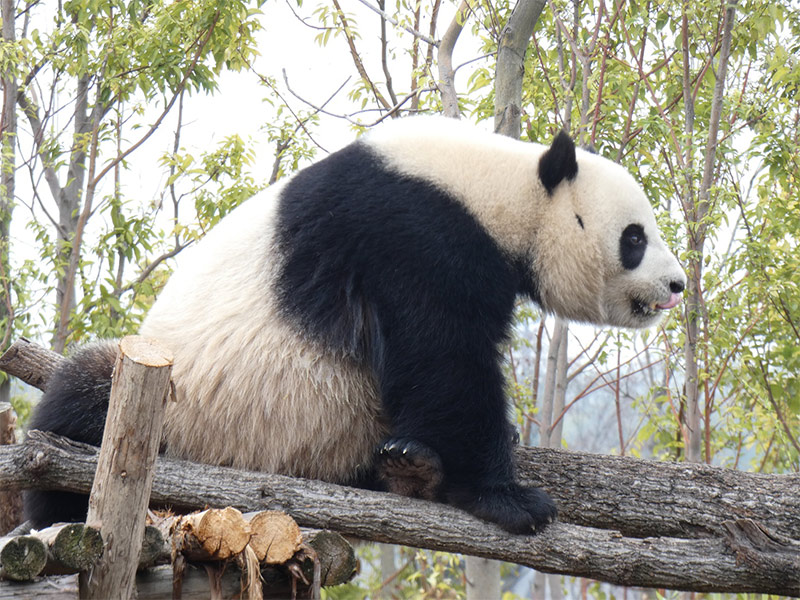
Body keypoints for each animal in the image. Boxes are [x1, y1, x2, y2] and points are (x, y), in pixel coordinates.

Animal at [26, 117, 688, 536]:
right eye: (635, 238)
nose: (677, 284)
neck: (502, 186)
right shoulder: (415, 235)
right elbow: (444, 360)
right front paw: (512, 500)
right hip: (178, 395)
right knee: (79, 403)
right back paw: (60, 509)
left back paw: (409, 467)